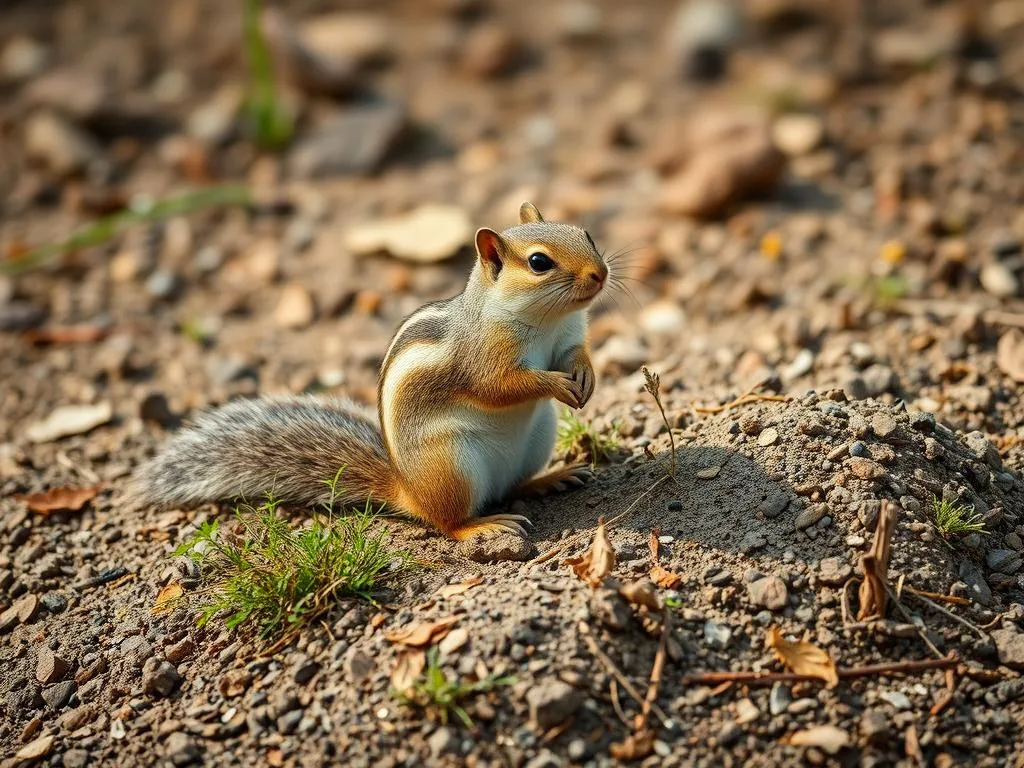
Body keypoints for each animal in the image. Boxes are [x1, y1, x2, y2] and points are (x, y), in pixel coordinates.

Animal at [131, 204, 602, 540]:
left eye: (586, 234)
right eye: (539, 262)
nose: (600, 274)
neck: (546, 320)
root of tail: (408, 491)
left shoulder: (568, 336)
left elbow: (576, 353)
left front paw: (585, 376)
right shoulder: (482, 356)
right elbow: (500, 386)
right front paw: (553, 382)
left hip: (538, 437)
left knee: (511, 488)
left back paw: (551, 478)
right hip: (452, 464)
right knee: (448, 522)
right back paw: (481, 525)